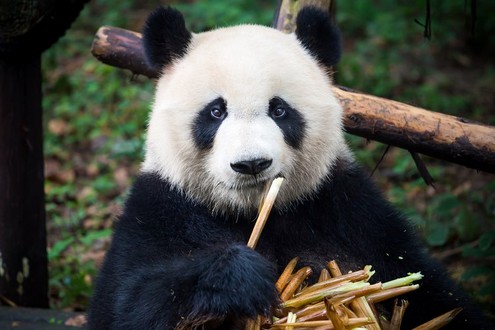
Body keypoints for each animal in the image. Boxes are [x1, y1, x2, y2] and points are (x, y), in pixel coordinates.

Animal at [88, 5, 492, 330]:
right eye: (216, 111)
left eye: (279, 109)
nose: (251, 164)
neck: (252, 213)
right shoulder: (159, 212)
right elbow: (127, 305)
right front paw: (239, 277)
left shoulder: (350, 210)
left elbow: (431, 294)